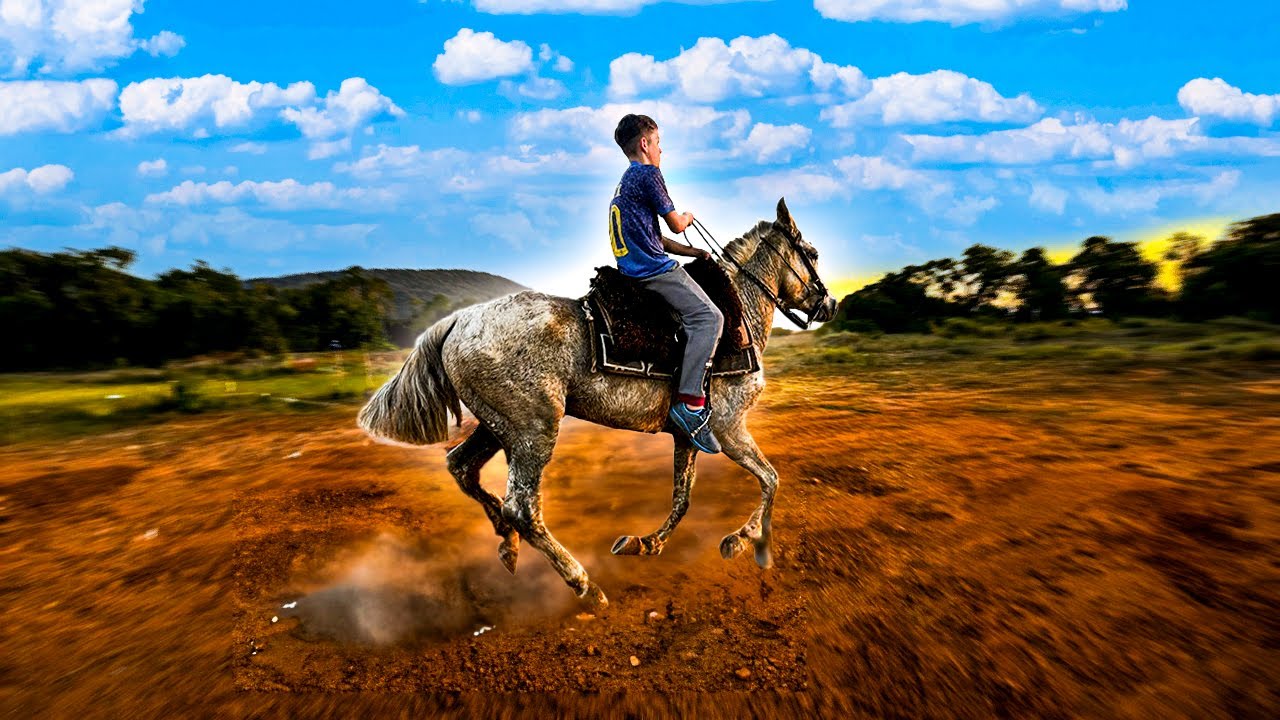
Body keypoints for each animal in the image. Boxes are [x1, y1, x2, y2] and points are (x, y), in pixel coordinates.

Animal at [357, 198, 837, 610]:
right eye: (812, 253)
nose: (829, 305)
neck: (739, 310)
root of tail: (458, 321)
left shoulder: (690, 435)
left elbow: (683, 497)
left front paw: (647, 542)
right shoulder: (729, 428)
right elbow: (771, 479)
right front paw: (744, 540)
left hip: (498, 425)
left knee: (462, 466)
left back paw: (507, 544)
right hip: (534, 430)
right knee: (522, 507)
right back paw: (582, 583)